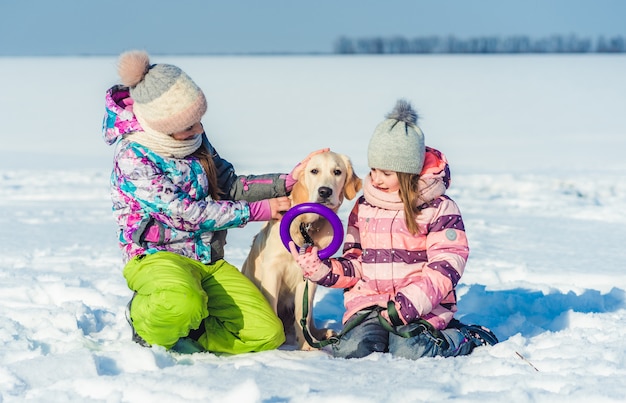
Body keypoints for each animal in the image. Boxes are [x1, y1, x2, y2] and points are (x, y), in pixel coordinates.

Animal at [241, 152, 364, 350]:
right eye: (314, 171)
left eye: (337, 172)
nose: (324, 192)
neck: (306, 226)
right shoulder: (273, 269)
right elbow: (271, 304)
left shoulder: (311, 274)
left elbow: (302, 316)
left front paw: (307, 345)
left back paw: (322, 334)